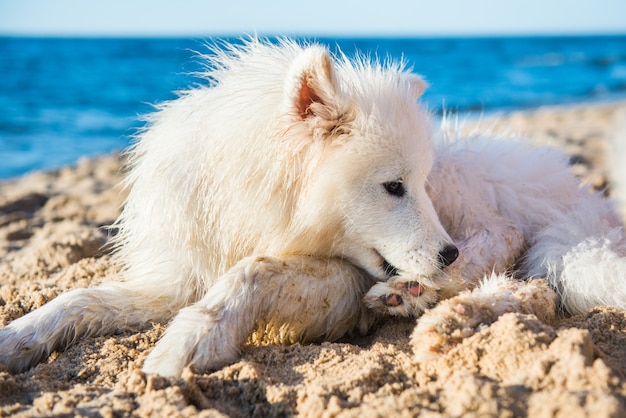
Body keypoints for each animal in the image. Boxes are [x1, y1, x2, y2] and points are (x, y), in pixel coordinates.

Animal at [1, 39, 624, 378]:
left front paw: (195, 339)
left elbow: (251, 271)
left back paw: (429, 301)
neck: (252, 201)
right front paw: (18, 338)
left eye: (414, 185)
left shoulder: (343, 287)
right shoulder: (180, 276)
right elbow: (78, 297)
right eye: (393, 187)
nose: (447, 253)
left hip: (467, 190)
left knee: (511, 245)